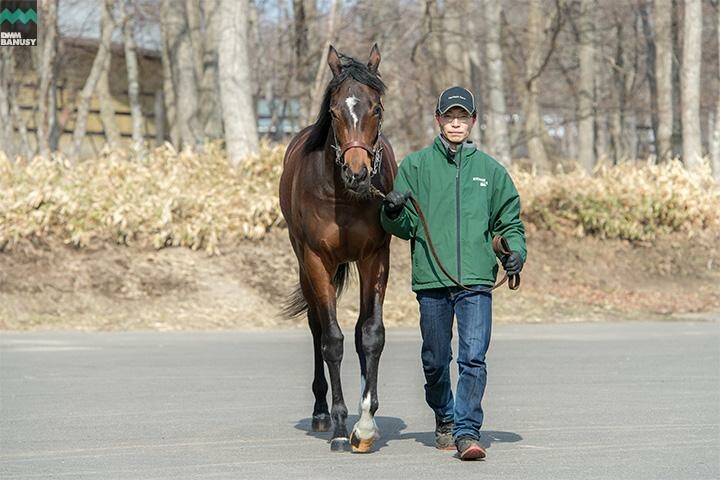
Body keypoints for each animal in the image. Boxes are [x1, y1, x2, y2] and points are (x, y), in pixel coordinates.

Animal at [278, 45, 396, 454]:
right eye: (333, 111)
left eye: (377, 108)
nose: (357, 173)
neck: (343, 197)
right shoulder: (316, 260)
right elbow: (332, 339)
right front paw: (343, 426)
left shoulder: (376, 256)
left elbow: (370, 334)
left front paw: (366, 422)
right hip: (304, 264)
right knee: (317, 326)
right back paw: (321, 412)